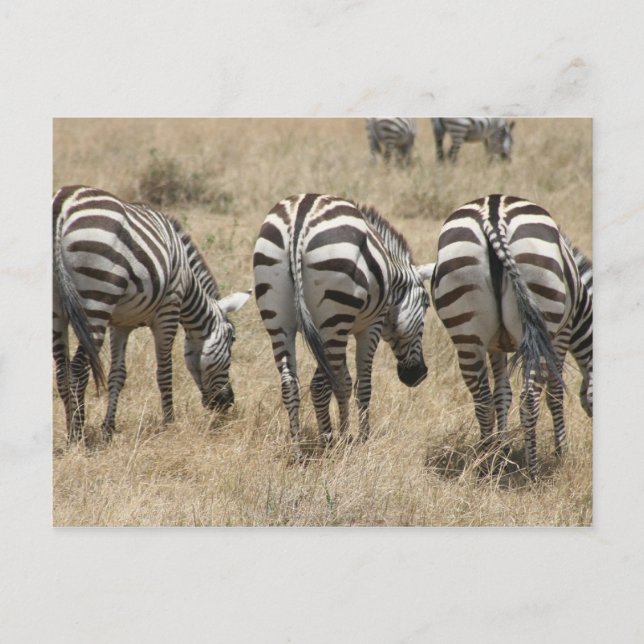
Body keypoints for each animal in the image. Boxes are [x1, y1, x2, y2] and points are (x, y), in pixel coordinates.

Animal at [52, 185, 250, 442]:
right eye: (232, 340)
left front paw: (108, 427)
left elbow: (118, 374)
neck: (188, 284)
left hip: (57, 307)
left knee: (61, 370)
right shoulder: (169, 310)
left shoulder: (120, 324)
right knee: (77, 368)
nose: (227, 403)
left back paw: (69, 432)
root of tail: (63, 203)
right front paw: (169, 423)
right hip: (96, 299)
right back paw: (78, 436)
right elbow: (165, 371)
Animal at [253, 193, 433, 461]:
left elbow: (344, 381)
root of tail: (298, 220)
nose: (418, 375)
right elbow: (361, 384)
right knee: (322, 385)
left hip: (278, 318)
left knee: (290, 384)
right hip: (334, 319)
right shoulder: (371, 326)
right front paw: (360, 439)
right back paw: (329, 445)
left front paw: (344, 435)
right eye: (427, 304)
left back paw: (298, 451)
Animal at [431, 194, 592, 479]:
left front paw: (502, 449)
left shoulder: (496, 344)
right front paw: (561, 452)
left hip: (465, 326)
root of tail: (493, 215)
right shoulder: (562, 333)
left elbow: (502, 393)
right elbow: (555, 391)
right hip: (542, 302)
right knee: (529, 399)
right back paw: (533, 472)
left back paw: (485, 463)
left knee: (483, 401)